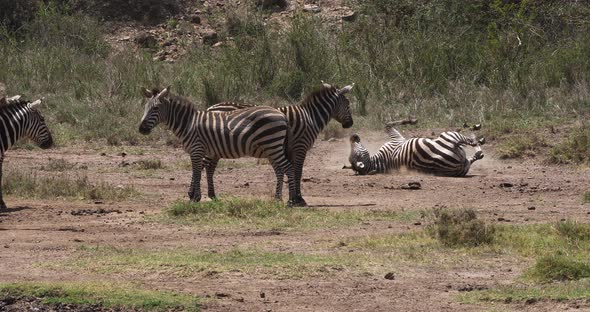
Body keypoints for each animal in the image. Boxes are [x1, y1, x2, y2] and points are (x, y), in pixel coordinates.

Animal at [139, 86, 300, 206]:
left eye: (156, 108)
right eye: (145, 107)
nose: (141, 129)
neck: (188, 123)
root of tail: (282, 115)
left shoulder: (197, 149)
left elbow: (197, 172)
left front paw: (195, 197)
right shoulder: (200, 151)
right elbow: (199, 171)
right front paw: (196, 196)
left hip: (272, 144)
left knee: (288, 167)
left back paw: (292, 200)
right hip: (271, 147)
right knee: (281, 169)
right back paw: (279, 198)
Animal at [208, 82, 356, 207]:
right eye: (348, 104)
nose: (350, 124)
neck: (310, 117)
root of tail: (210, 108)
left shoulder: (287, 150)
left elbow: (284, 171)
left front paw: (285, 197)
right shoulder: (300, 147)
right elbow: (297, 172)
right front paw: (298, 199)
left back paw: (212, 195)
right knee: (210, 167)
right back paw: (210, 195)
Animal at [346, 125, 486, 178]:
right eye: (357, 154)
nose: (352, 136)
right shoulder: (396, 140)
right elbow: (388, 125)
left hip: (464, 166)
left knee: (477, 154)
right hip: (449, 136)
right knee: (475, 146)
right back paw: (476, 134)